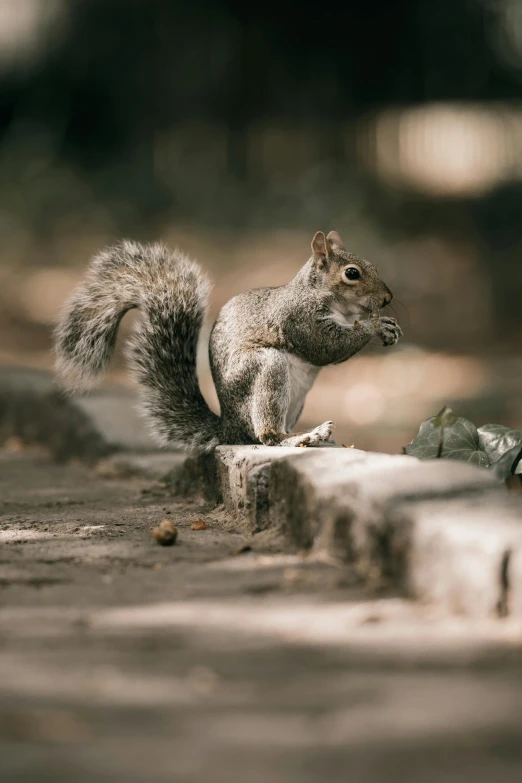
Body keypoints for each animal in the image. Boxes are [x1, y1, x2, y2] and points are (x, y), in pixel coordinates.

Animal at [54, 231, 400, 454]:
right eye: (352, 273)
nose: (387, 298)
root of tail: (229, 429)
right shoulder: (298, 318)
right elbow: (325, 346)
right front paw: (375, 325)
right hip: (266, 370)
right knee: (266, 436)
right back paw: (299, 438)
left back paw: (313, 437)